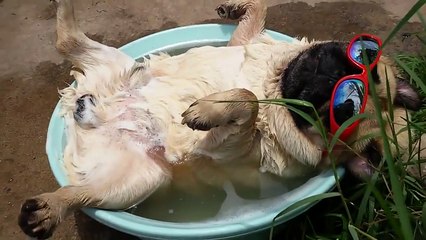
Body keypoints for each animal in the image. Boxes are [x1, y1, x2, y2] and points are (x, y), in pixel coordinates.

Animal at [16, 0, 422, 239]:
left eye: (345, 110)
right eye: (363, 54)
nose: (334, 70)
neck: (275, 81)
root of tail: (93, 117)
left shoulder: (228, 146)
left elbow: (248, 99)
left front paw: (205, 109)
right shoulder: (244, 43)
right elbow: (256, 17)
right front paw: (241, 7)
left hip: (140, 180)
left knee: (83, 193)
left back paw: (50, 209)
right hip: (123, 64)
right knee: (68, 40)